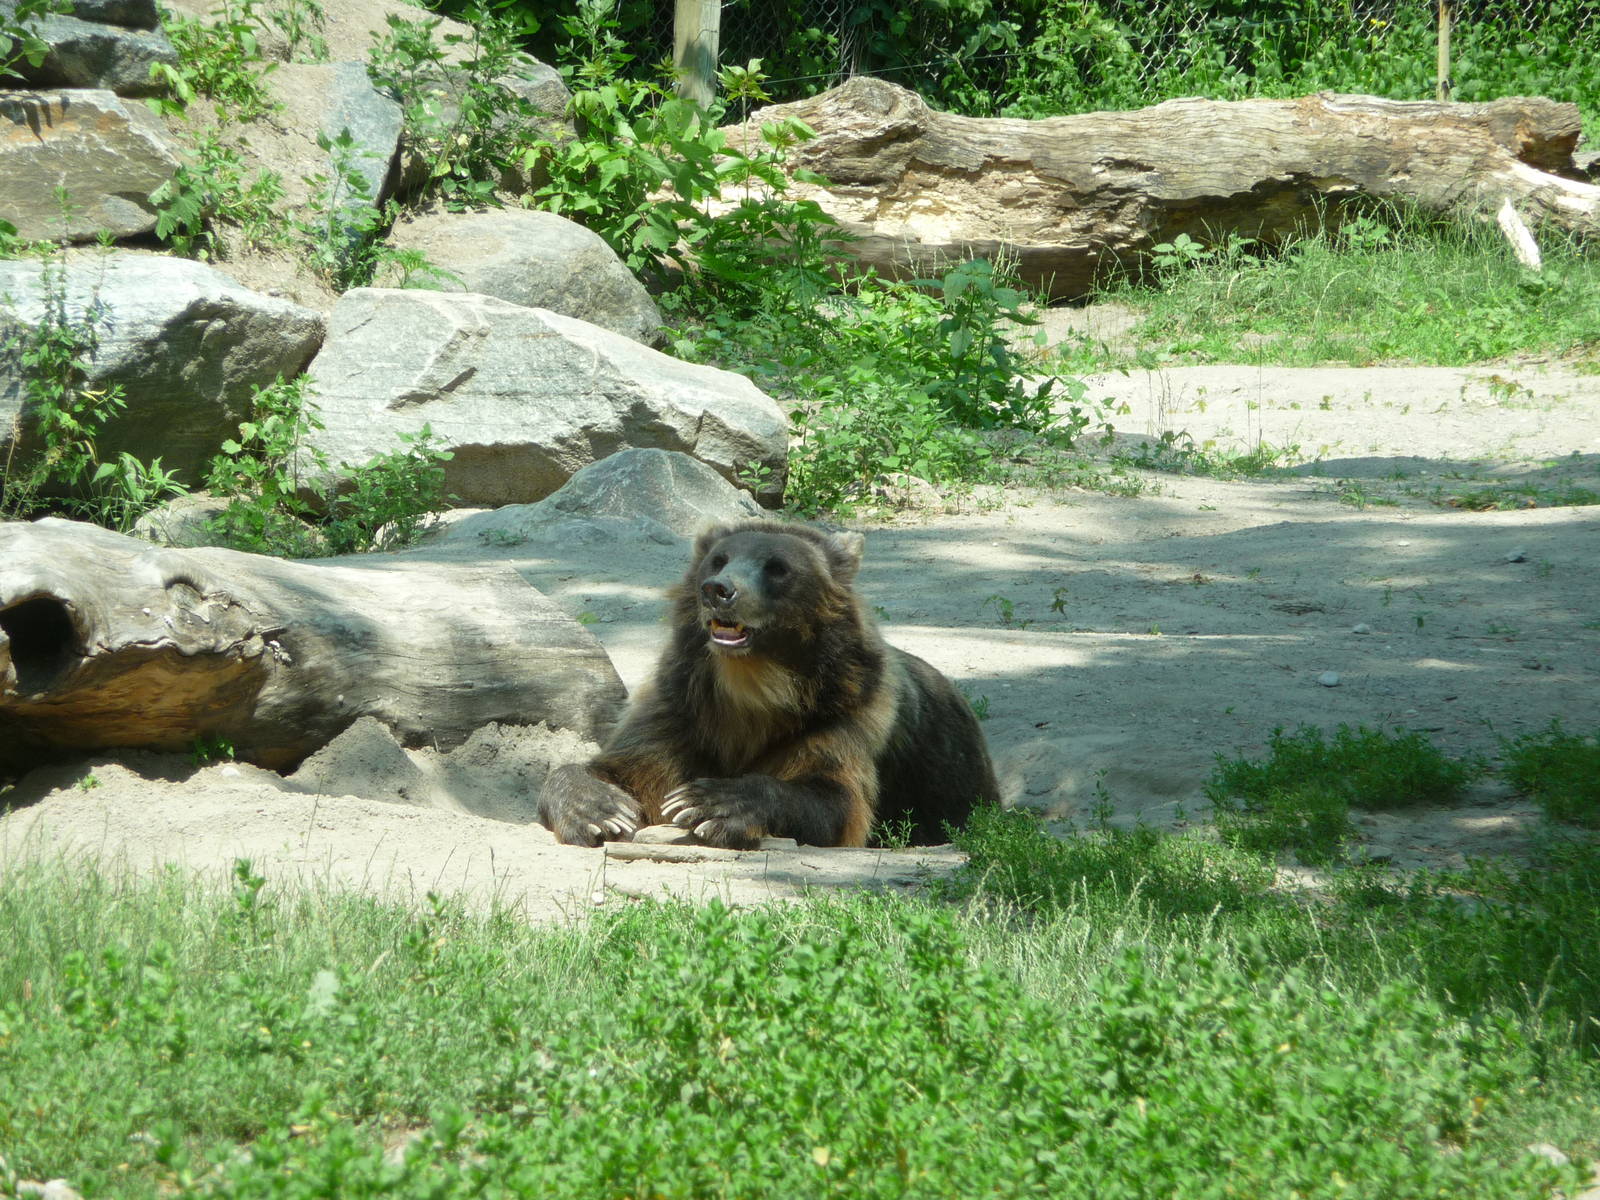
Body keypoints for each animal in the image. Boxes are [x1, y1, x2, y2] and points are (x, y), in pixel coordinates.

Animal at [538, 519, 999, 850]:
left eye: (778, 568)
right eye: (719, 559)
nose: (718, 590)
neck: (752, 687)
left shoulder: (843, 717)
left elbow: (834, 798)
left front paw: (709, 803)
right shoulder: (679, 713)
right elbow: (625, 768)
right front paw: (599, 810)